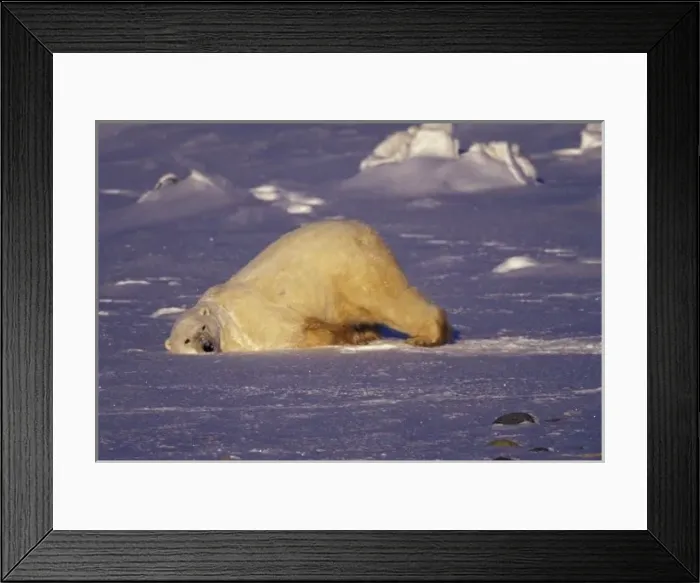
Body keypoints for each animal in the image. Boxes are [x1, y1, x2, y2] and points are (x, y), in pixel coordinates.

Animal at [164, 219, 452, 354]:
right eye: (187, 339)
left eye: (202, 328)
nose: (207, 346)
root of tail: (365, 230)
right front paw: (357, 336)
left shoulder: (251, 317)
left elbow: (297, 332)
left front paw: (345, 336)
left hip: (351, 268)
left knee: (386, 300)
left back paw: (426, 337)